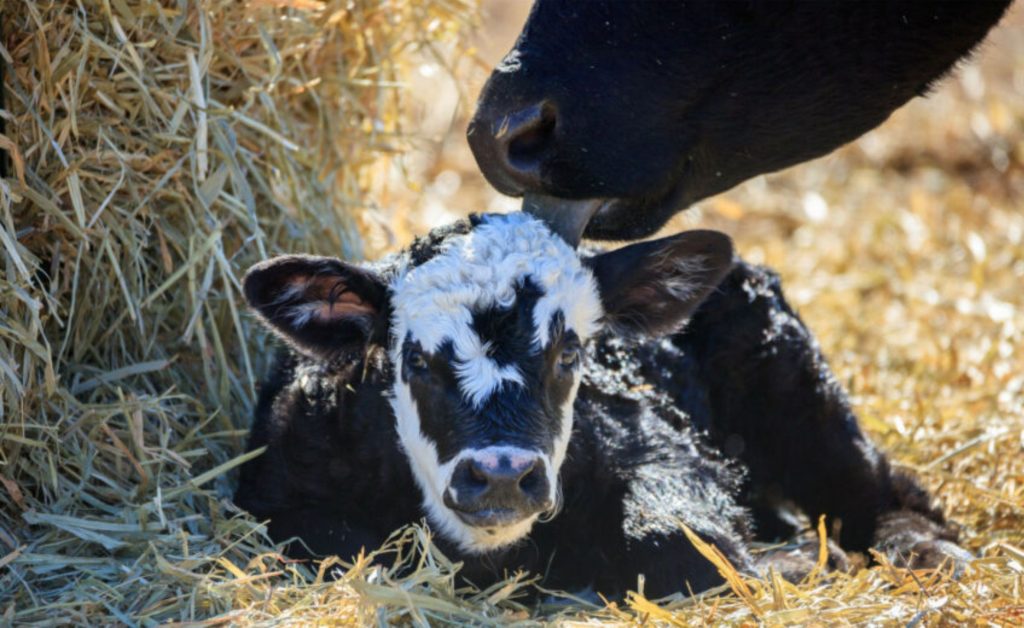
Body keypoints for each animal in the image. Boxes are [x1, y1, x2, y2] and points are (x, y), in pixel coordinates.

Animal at [234, 213, 966, 598]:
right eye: (413, 359)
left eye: (571, 353)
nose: (502, 474)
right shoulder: (279, 495)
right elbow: (349, 548)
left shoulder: (664, 448)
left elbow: (678, 541)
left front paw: (794, 562)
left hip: (796, 386)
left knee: (881, 486)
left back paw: (922, 548)